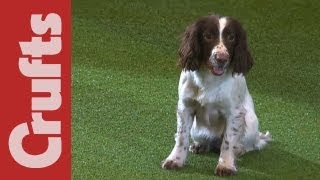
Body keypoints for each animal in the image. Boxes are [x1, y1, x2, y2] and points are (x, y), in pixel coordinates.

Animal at [161, 15, 272, 176]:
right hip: (195, 129)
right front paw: (175, 160)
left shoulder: (235, 113)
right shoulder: (185, 106)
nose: (222, 58)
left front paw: (225, 165)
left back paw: (238, 150)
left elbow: (228, 141)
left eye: (231, 37)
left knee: (249, 145)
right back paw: (200, 145)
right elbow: (181, 137)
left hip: (250, 120)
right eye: (208, 36)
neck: (210, 78)